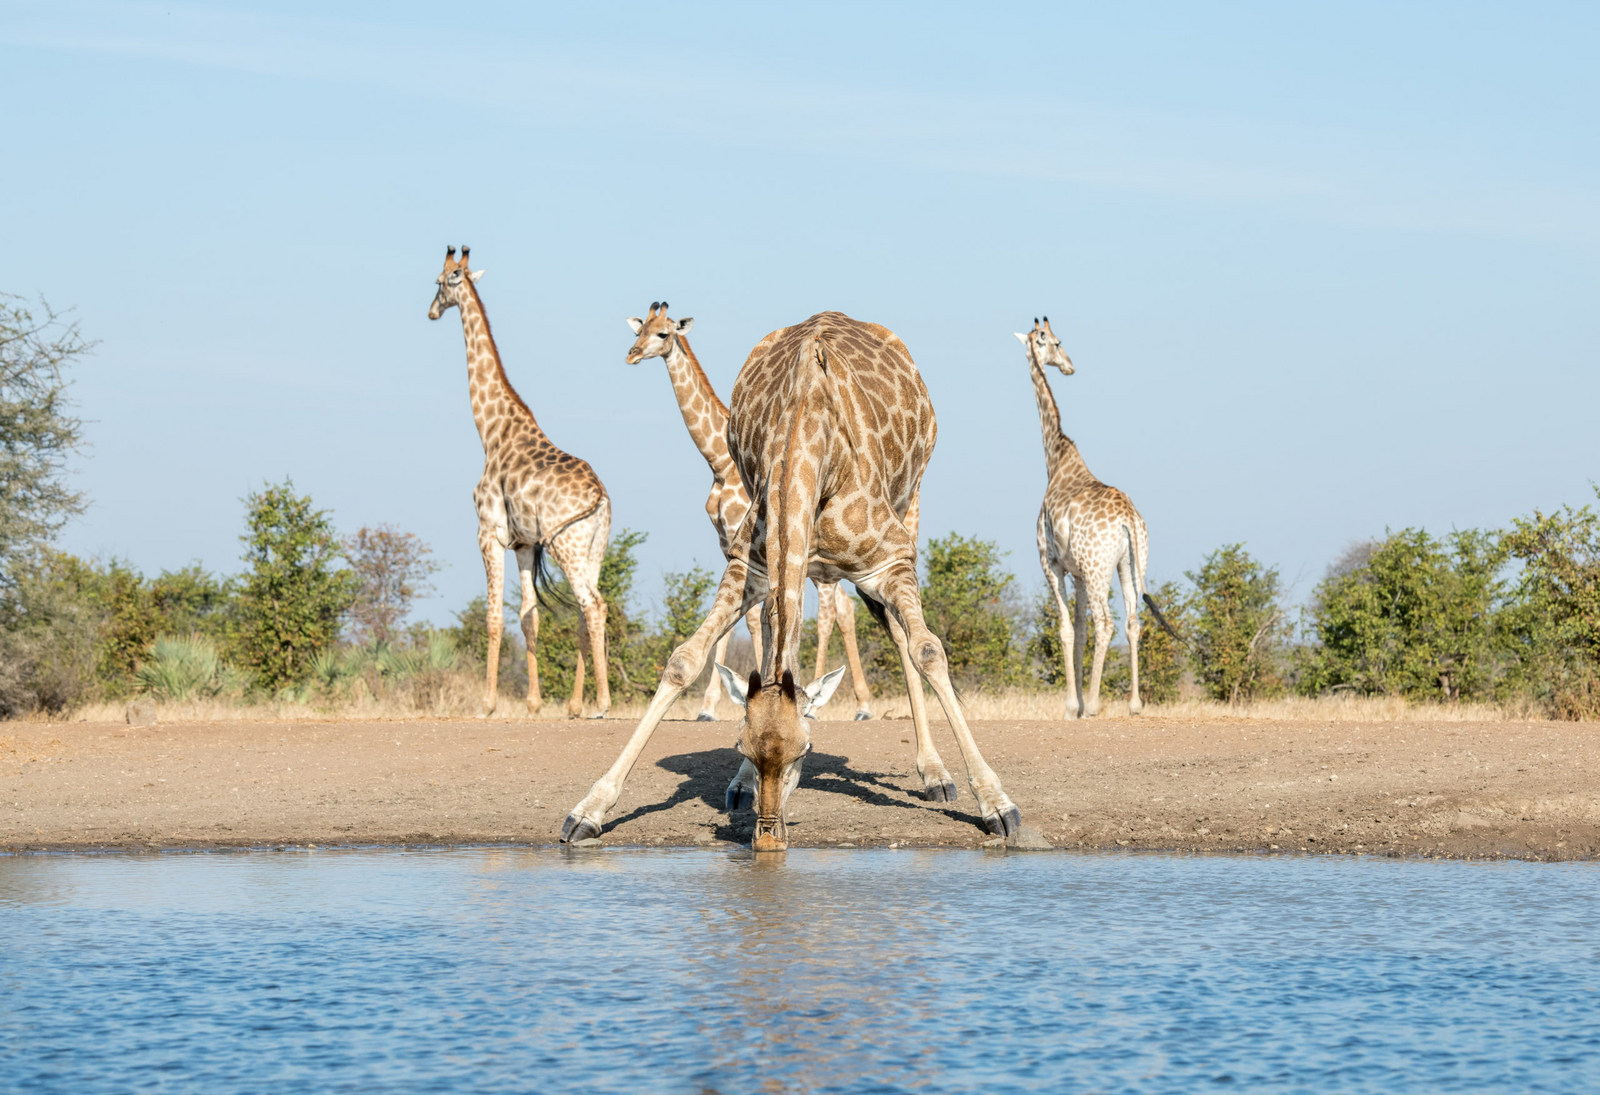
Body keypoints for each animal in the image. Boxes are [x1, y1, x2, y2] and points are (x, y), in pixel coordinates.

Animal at [428, 246, 610, 718]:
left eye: (439, 282)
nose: (431, 311)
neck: (490, 430)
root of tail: (600, 496)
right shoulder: (525, 542)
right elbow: (530, 615)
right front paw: (532, 702)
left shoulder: (487, 531)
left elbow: (493, 615)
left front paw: (487, 703)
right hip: (594, 546)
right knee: (587, 609)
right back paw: (576, 705)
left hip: (567, 545)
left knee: (593, 604)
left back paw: (601, 703)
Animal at [625, 302, 873, 721]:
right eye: (638, 329)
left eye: (663, 333)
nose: (631, 354)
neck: (718, 462)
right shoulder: (727, 541)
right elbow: (750, 617)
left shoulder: (744, 538)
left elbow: (754, 620)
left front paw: (720, 703)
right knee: (841, 609)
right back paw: (856, 702)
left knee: (833, 611)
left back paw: (854, 704)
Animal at [1019, 316, 1153, 719]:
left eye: (1055, 340)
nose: (1068, 366)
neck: (1055, 459)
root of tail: (1128, 520)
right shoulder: (1077, 573)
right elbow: (1079, 631)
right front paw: (1075, 704)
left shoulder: (1052, 563)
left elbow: (1065, 629)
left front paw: (1071, 707)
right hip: (1130, 563)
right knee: (1133, 621)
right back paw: (1135, 705)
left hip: (1099, 568)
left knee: (1106, 623)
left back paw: (1094, 705)